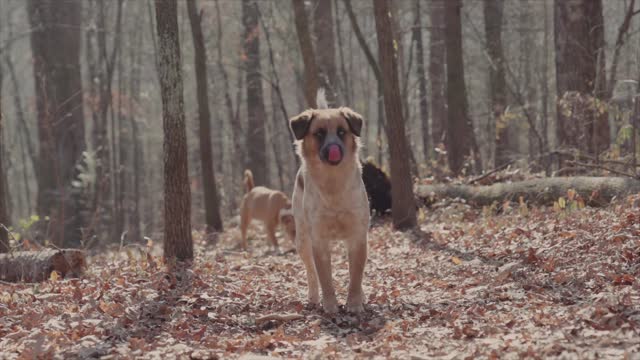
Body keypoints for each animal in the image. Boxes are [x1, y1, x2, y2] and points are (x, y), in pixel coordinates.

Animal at [290, 102, 370, 314]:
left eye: (342, 131)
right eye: (319, 133)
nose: (334, 148)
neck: (333, 182)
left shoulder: (357, 236)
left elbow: (356, 275)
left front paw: (354, 303)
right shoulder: (319, 240)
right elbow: (324, 277)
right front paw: (330, 305)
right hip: (302, 240)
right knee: (311, 274)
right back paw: (313, 298)